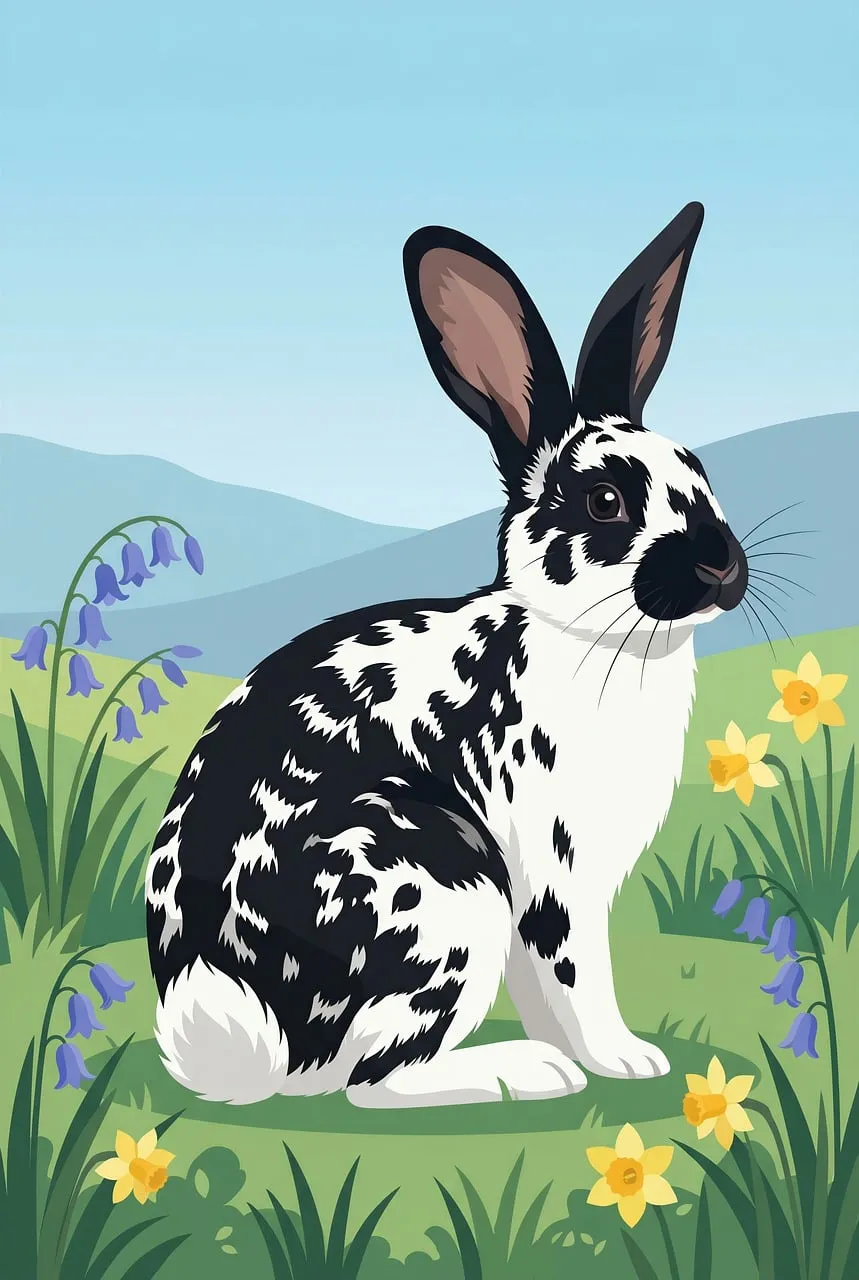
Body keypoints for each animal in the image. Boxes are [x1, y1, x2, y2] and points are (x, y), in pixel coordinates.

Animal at [145, 201, 748, 1108]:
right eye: (605, 502)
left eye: (700, 473)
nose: (722, 567)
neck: (586, 636)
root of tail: (243, 1036)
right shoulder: (553, 882)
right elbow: (575, 978)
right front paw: (622, 1060)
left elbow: (545, 990)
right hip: (445, 892)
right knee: (375, 1080)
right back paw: (525, 1073)